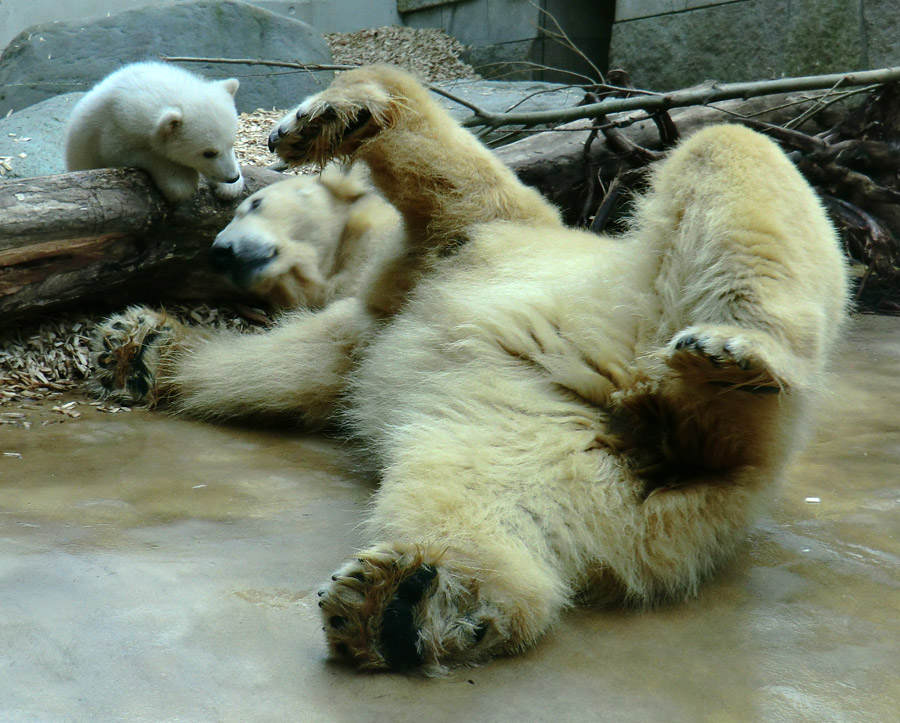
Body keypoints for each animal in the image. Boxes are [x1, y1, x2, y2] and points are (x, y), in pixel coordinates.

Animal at [95, 65, 848, 676]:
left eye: (254, 200)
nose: (221, 253)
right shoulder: (376, 320)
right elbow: (282, 367)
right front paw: (137, 347)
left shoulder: (482, 235)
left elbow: (454, 179)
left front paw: (326, 116)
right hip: (551, 443)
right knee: (476, 493)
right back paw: (404, 605)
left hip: (644, 300)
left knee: (732, 154)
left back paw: (734, 354)